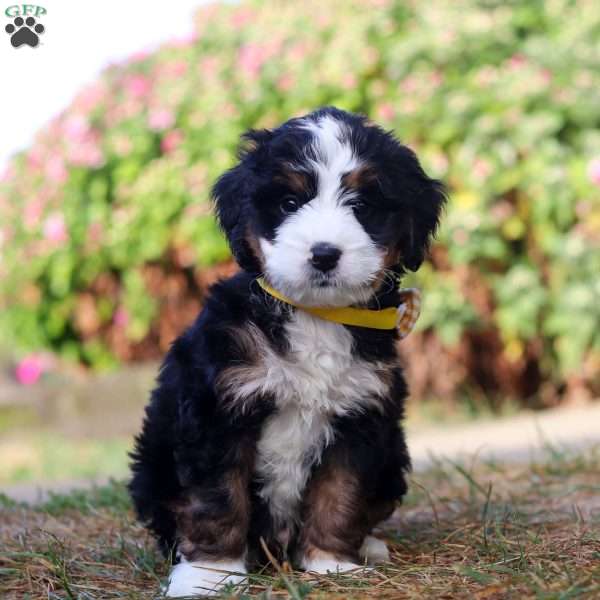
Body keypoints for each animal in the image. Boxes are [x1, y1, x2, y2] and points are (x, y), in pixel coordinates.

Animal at [127, 106, 446, 596]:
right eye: (289, 203)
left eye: (362, 207)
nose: (325, 254)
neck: (316, 316)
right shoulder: (218, 410)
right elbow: (216, 499)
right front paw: (208, 575)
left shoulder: (360, 416)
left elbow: (339, 493)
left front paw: (332, 562)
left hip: (393, 455)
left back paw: (368, 546)